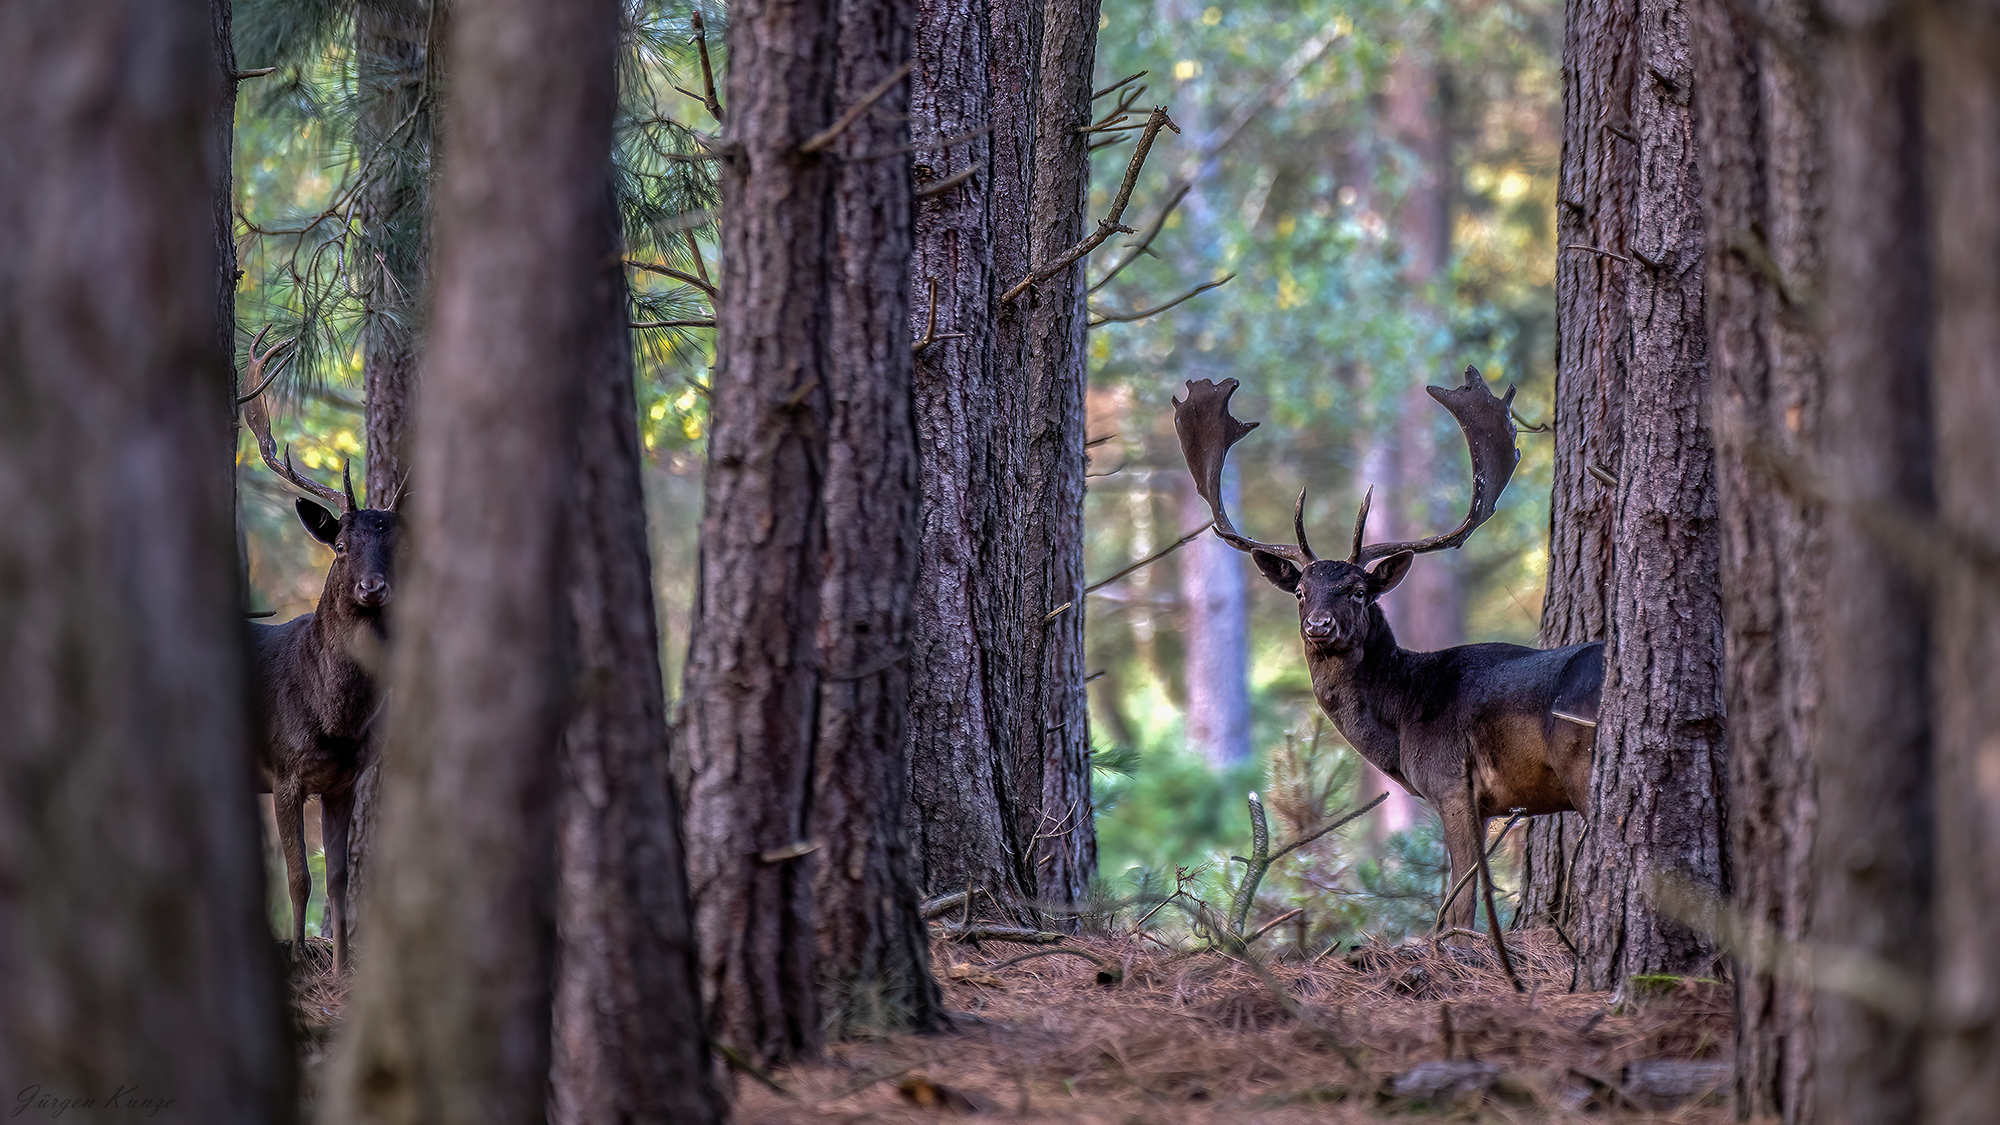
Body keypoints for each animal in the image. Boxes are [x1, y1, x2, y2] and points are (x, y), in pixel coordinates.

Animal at [238, 330, 402, 964]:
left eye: (395, 548)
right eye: (341, 547)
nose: (372, 586)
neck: (333, 717)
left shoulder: (346, 780)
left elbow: (337, 877)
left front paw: (341, 964)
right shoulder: (285, 772)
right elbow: (298, 877)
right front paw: (294, 955)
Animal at [1176, 364, 1600, 924]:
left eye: (1358, 590)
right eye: (1300, 590)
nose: (1318, 625)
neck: (1404, 721)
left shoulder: (1452, 782)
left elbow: (1459, 903)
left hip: (1583, 766)